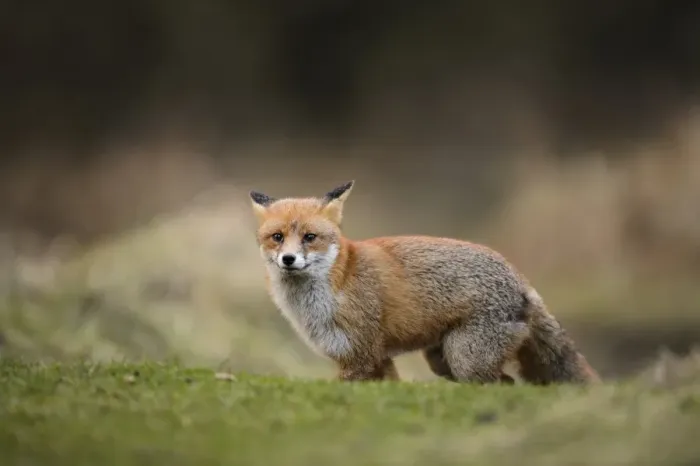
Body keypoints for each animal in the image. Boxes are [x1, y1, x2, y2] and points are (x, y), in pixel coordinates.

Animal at [249, 180, 600, 384]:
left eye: (309, 237)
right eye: (277, 237)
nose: (289, 259)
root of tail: (519, 277)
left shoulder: (361, 355)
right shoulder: (375, 358)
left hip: (466, 360)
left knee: (502, 383)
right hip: (442, 361)